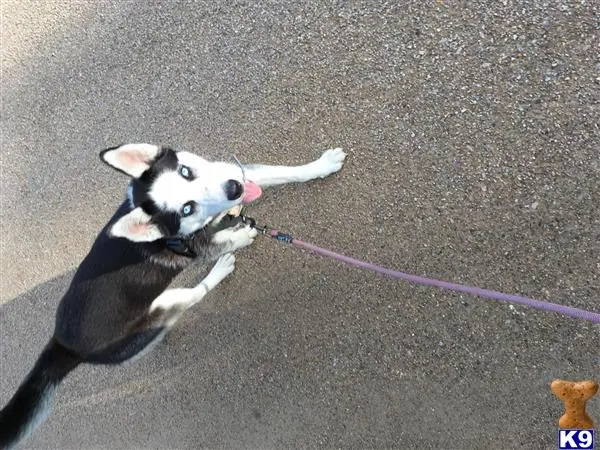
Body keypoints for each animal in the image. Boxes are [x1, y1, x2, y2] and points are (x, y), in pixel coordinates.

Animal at [0, 143, 346, 446]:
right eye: (186, 208)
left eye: (185, 171)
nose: (233, 189)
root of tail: (62, 345)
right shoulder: (203, 245)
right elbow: (229, 238)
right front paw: (242, 233)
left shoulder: (232, 173)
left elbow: (282, 172)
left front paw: (321, 165)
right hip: (166, 304)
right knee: (195, 293)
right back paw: (219, 270)